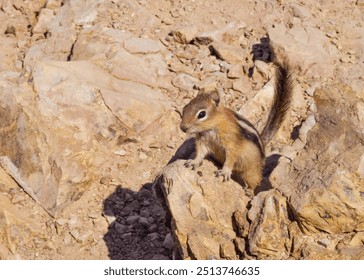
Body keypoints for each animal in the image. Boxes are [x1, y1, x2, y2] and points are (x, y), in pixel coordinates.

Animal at [181, 61, 294, 190]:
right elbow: (200, 152)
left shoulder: (232, 144)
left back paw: (249, 191)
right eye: (185, 107)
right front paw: (194, 162)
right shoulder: (202, 140)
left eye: (201, 114)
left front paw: (224, 172)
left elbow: (231, 158)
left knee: (255, 182)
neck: (213, 126)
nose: (183, 128)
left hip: (251, 172)